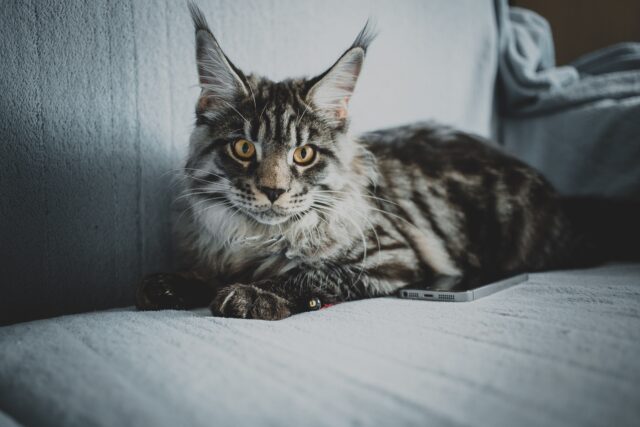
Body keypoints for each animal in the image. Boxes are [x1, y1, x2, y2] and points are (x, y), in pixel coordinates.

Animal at [136, 0, 600, 320]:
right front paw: (174, 284)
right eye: (244, 149)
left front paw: (254, 293)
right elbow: (210, 271)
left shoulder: (390, 255)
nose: (273, 190)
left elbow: (307, 272)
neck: (256, 237)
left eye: (303, 154)